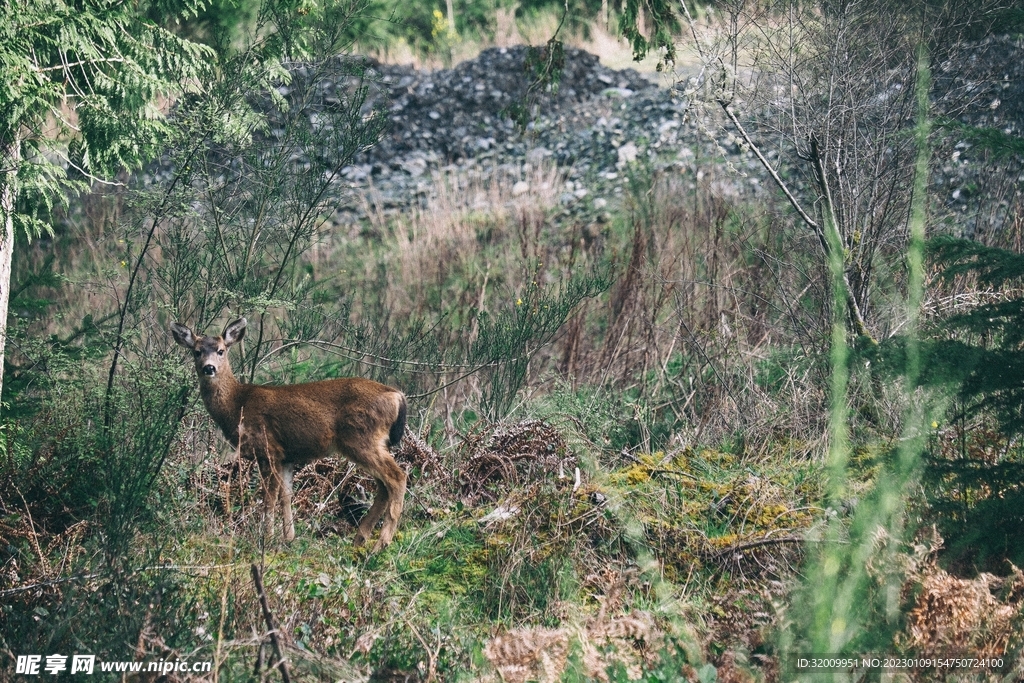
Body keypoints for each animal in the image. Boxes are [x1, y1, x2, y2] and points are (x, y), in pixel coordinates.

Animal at [170, 317, 408, 550]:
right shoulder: (286, 456)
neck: (238, 405)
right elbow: (286, 495)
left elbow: (269, 499)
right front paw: (289, 538)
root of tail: (397, 396)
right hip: (370, 442)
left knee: (397, 477)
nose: (209, 368)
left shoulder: (269, 449)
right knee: (383, 486)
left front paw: (267, 539)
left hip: (361, 438)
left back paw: (380, 545)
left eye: (221, 350)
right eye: (197, 351)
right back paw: (360, 541)